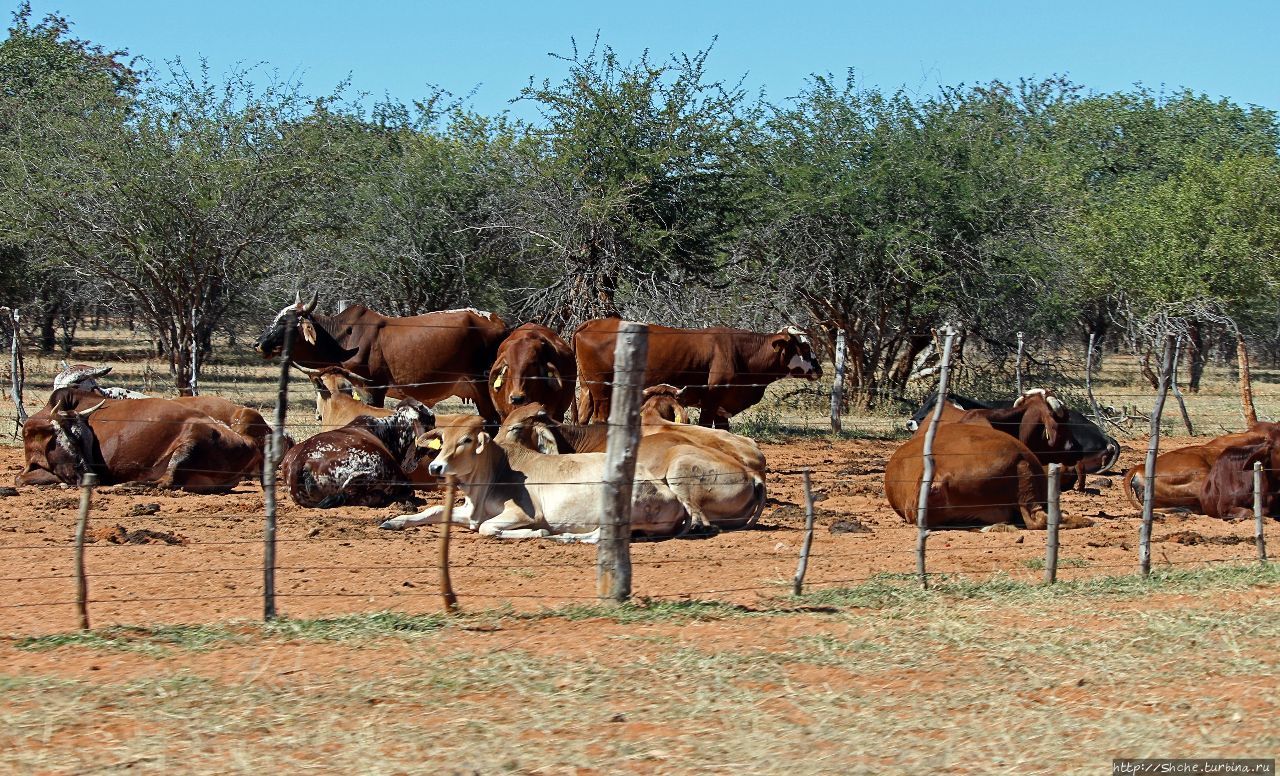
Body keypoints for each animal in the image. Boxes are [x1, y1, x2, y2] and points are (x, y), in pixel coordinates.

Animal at [20, 389, 261, 491]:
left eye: (84, 441)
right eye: (67, 440)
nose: (91, 476)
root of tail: (247, 443)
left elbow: (20, 479)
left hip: (188, 444)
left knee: (165, 482)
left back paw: (126, 486)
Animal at [376, 417, 691, 545]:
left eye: (466, 440)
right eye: (443, 440)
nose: (436, 466)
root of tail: (673, 497)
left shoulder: (521, 513)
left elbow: (489, 529)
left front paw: (537, 532)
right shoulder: (470, 512)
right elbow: (433, 510)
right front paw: (394, 521)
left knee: (598, 536)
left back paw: (558, 536)